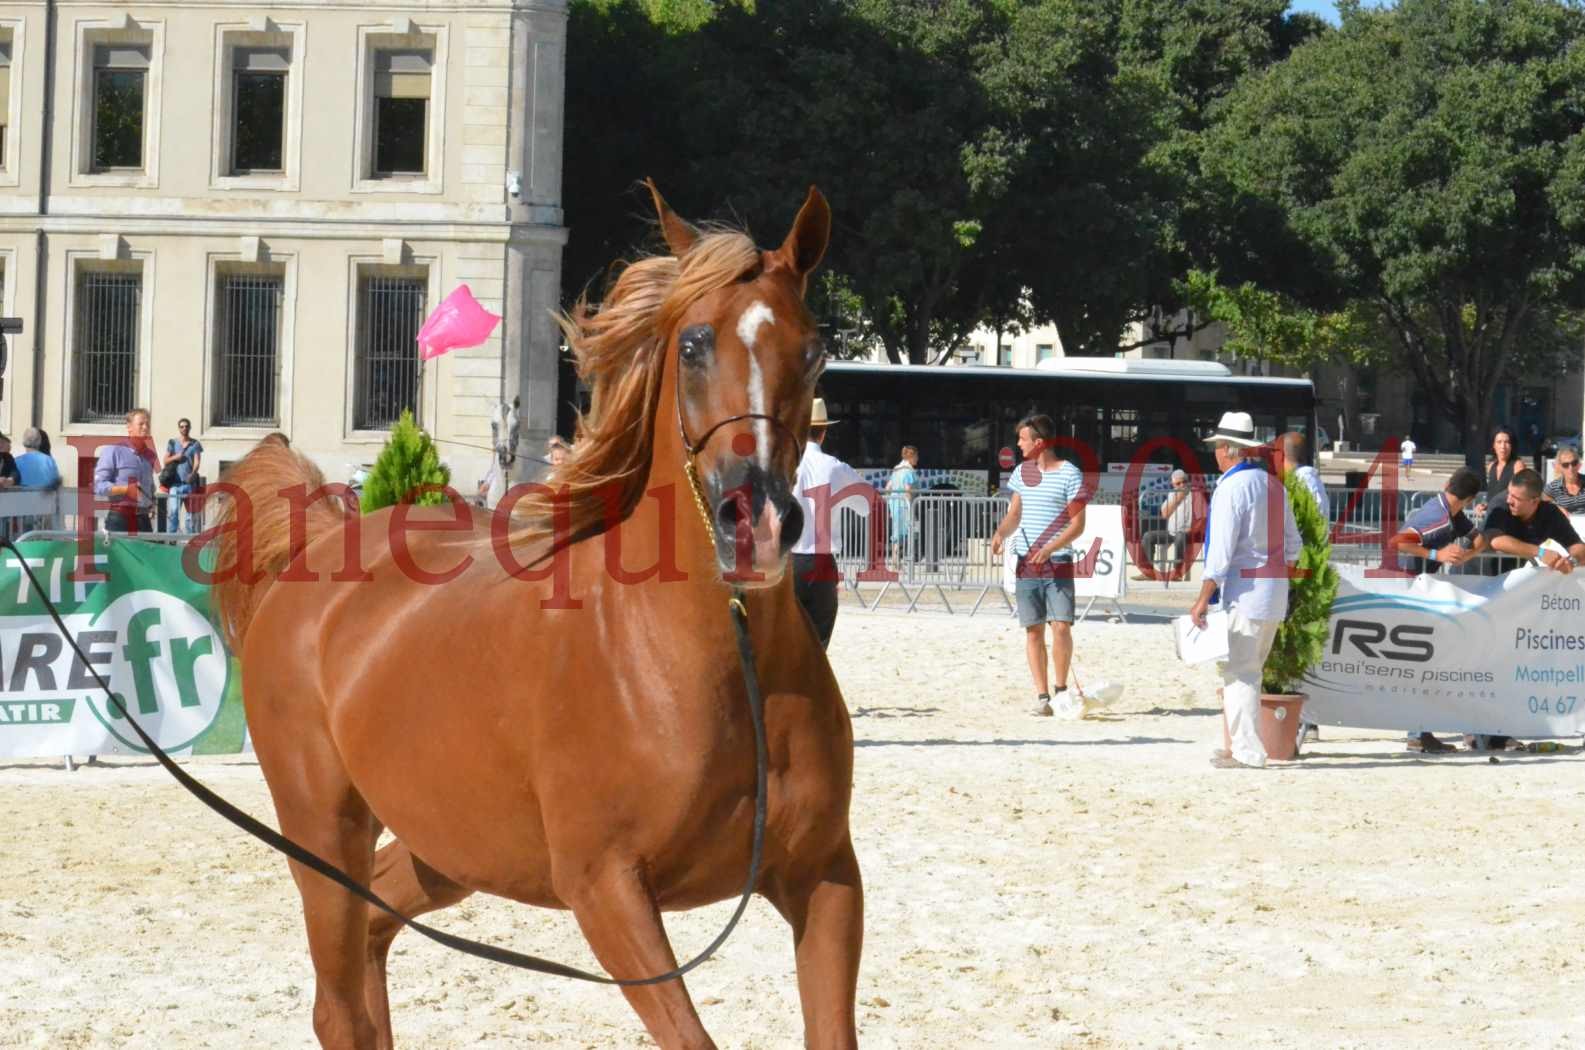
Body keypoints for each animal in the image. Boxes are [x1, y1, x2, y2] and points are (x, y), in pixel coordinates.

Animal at [207, 184, 868, 1046]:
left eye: (813, 349)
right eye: (693, 345)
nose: (754, 520)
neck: (715, 666)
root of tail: (320, 537)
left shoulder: (823, 877)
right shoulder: (606, 889)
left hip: (446, 848)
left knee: (375, 939)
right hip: (322, 834)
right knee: (338, 1002)